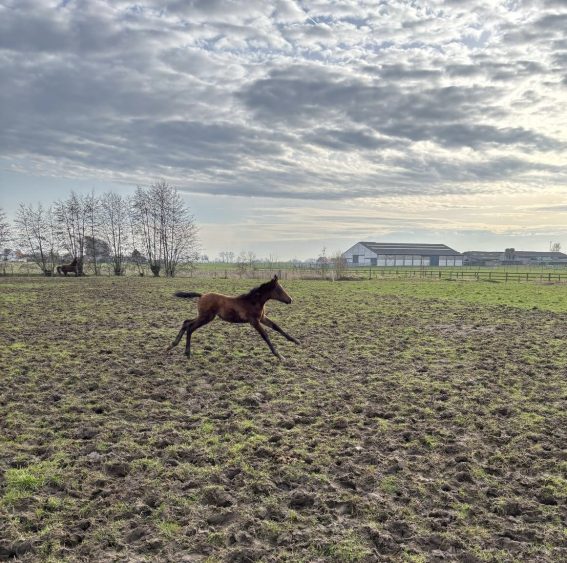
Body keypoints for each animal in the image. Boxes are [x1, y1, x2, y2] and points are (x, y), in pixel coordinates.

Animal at [167, 275, 300, 360]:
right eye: (280, 290)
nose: (290, 300)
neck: (253, 302)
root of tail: (202, 295)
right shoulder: (254, 321)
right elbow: (265, 335)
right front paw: (280, 356)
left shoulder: (262, 318)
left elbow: (277, 327)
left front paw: (296, 341)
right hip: (206, 317)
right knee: (190, 327)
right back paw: (187, 353)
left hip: (204, 316)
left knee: (186, 322)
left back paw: (173, 345)